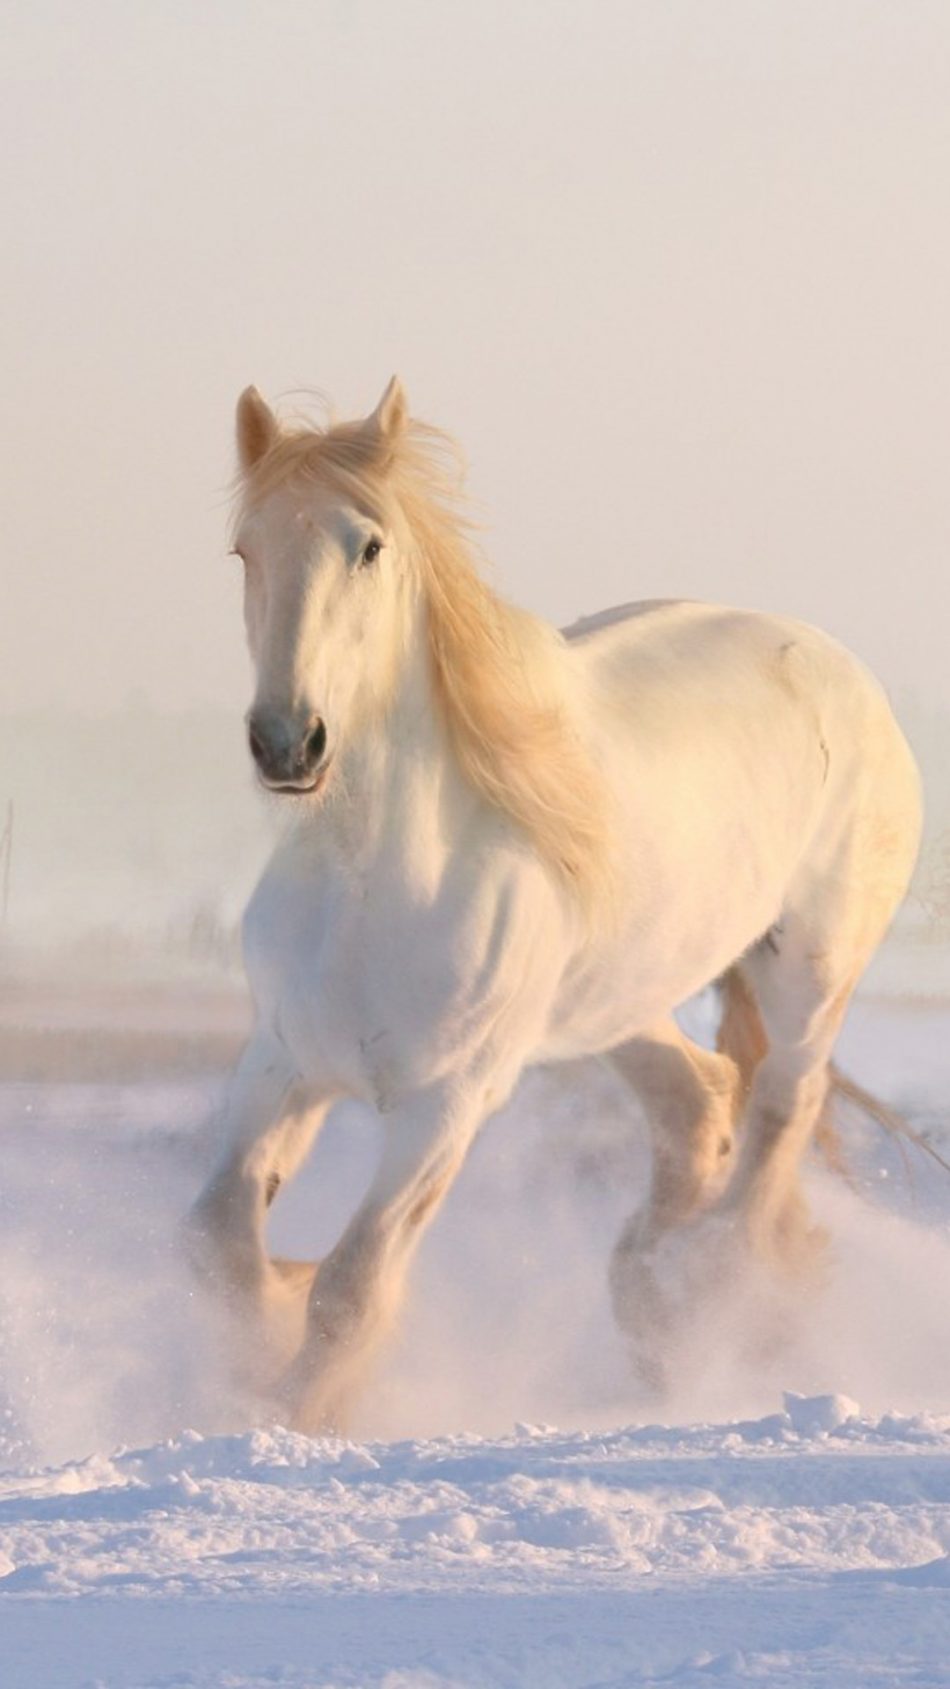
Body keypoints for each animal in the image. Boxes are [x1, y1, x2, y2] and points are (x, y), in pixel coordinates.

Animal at [188, 380, 919, 1425]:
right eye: (246, 549)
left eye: (368, 546)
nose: (290, 742)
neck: (374, 883)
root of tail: (841, 666)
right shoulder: (283, 1063)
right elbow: (216, 1242)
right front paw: (254, 1358)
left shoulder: (446, 1105)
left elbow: (352, 1285)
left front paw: (291, 1413)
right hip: (615, 1001)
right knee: (701, 1101)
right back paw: (652, 1304)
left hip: (809, 971)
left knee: (783, 1106)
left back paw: (716, 1296)